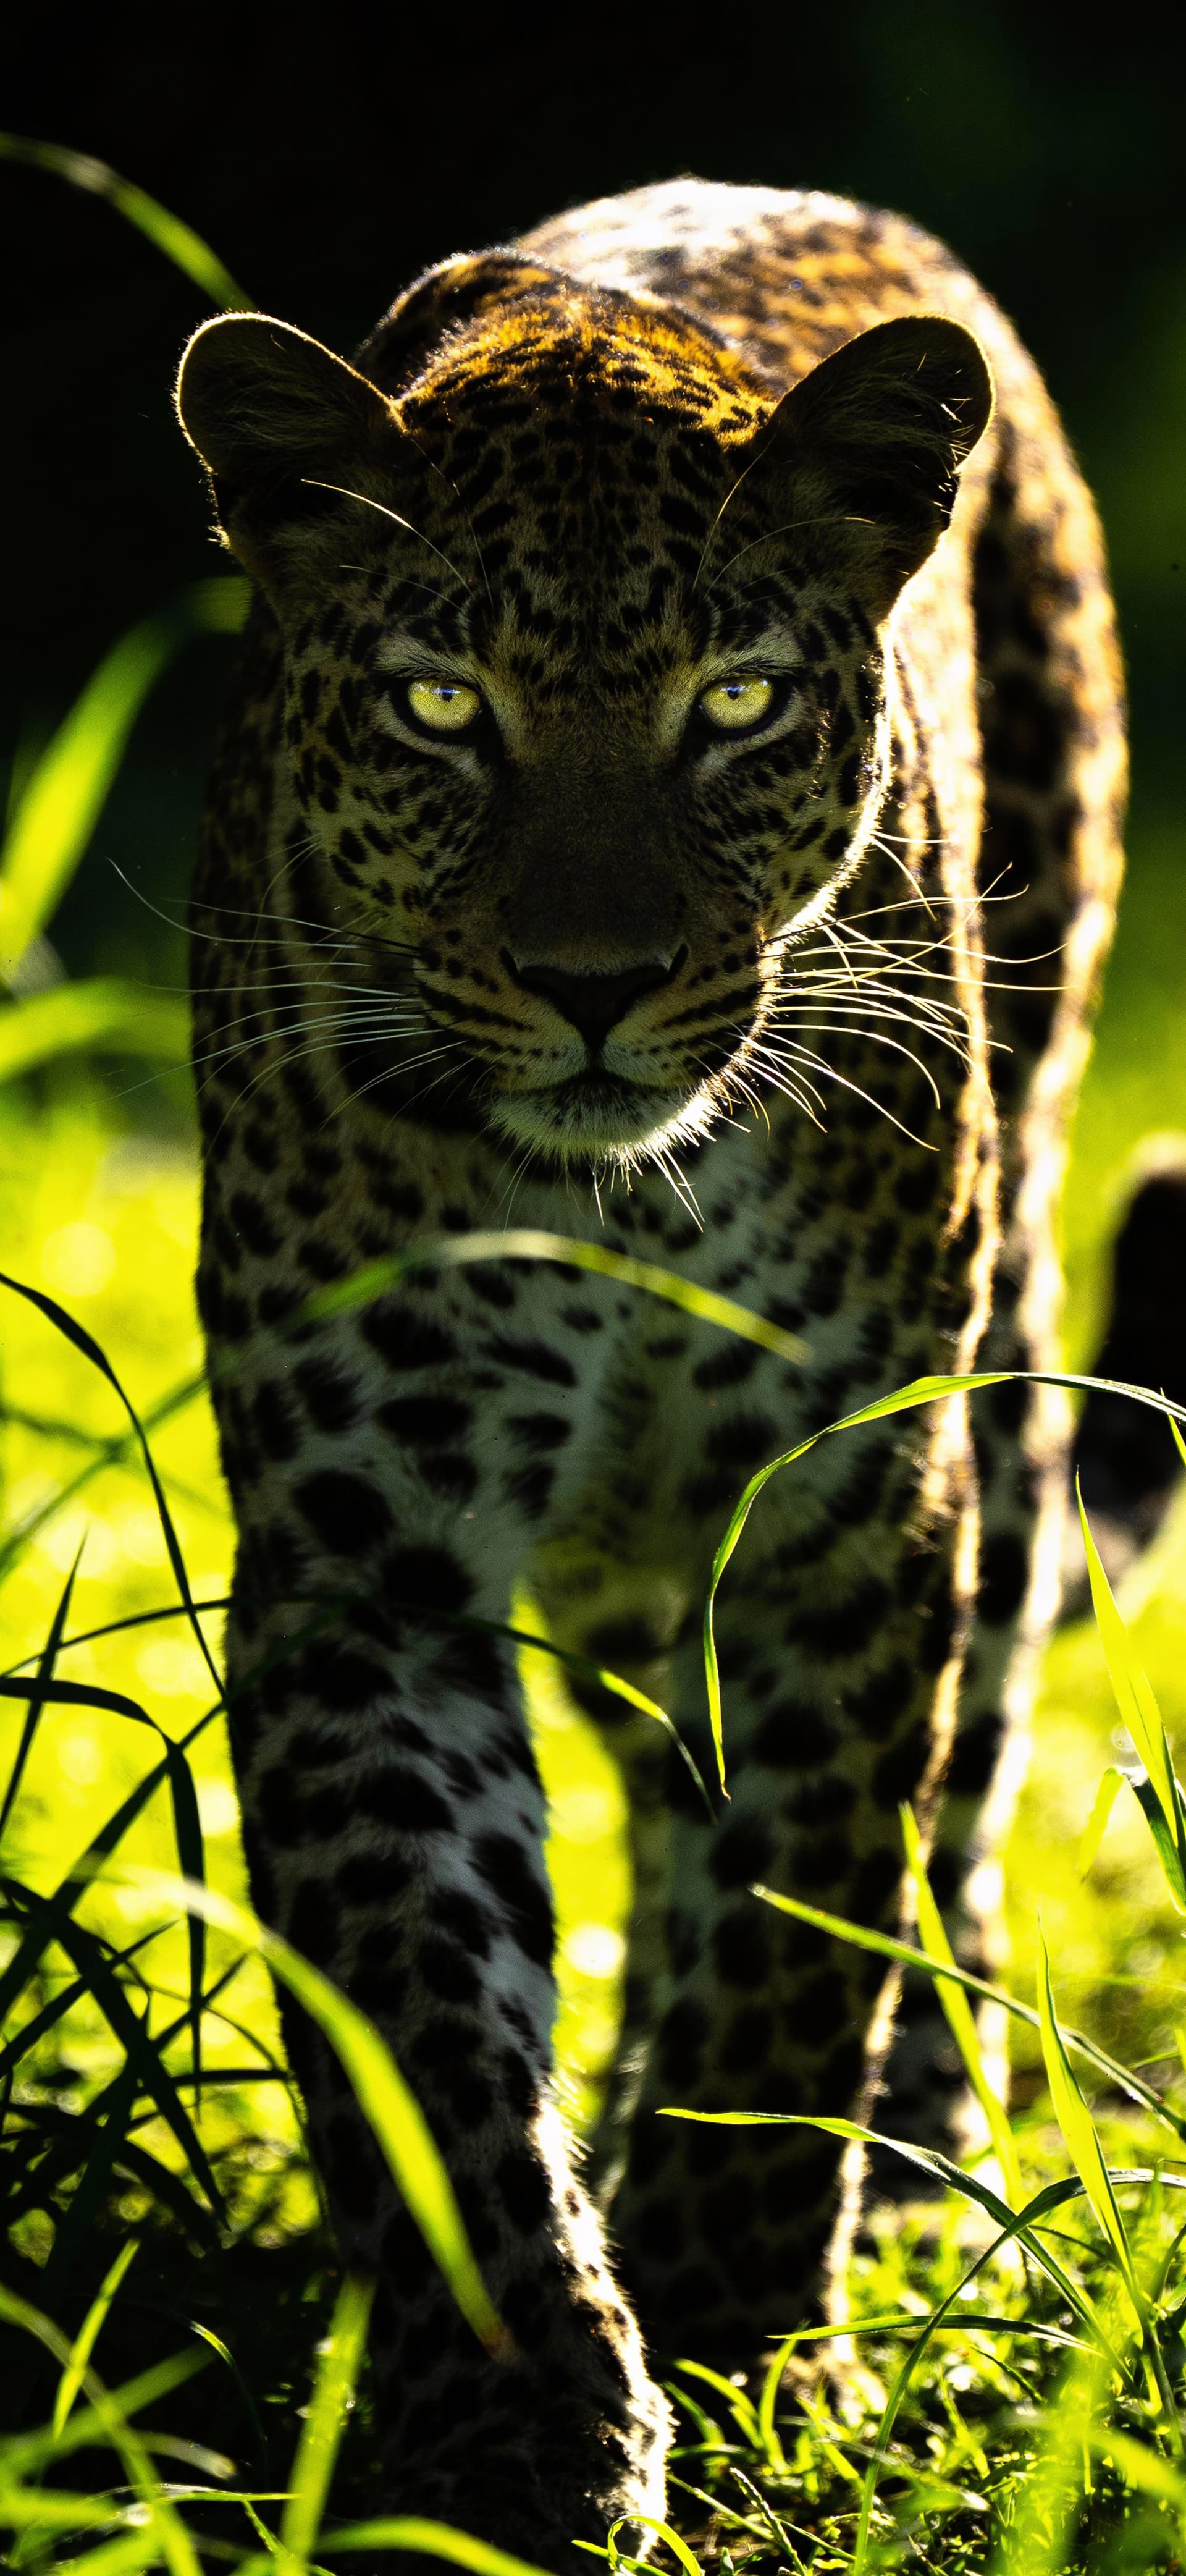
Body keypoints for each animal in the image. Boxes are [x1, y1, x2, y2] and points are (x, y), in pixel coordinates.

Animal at [175, 178, 1125, 2568]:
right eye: (441, 706)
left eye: (739, 705)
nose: (594, 982)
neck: (624, 1205)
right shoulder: (366, 1548)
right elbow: (423, 1997)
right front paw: (516, 2424)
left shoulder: (841, 1515)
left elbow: (799, 1933)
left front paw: (733, 2341)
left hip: (1002, 1348)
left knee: (961, 1810)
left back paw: (921, 2178)